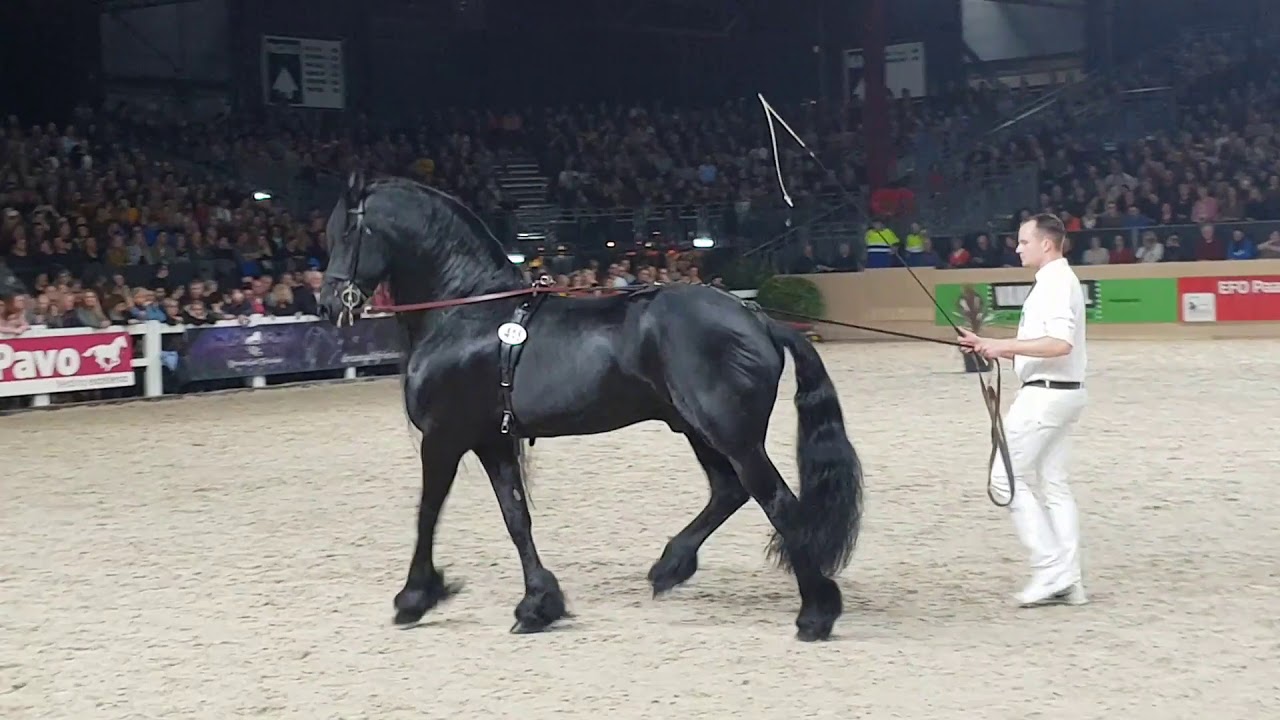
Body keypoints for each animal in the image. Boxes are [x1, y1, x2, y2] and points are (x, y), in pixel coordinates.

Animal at [316, 171, 865, 641]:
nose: (328, 303)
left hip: (730, 434)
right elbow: (516, 518)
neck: (465, 313)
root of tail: (756, 317)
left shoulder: (443, 438)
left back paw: (815, 615)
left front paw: (414, 598)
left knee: (779, 504)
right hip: (699, 431)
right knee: (730, 491)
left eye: (347, 232)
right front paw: (538, 605)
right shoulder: (492, 440)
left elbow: (427, 511)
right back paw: (670, 567)